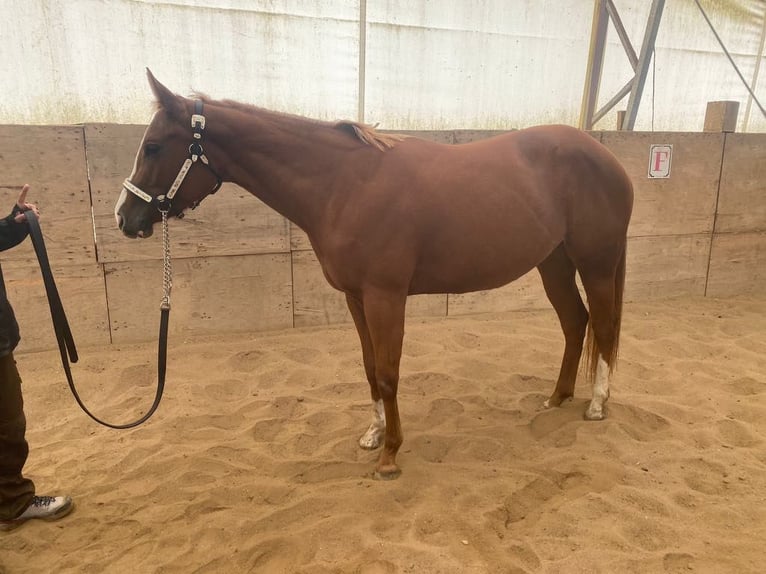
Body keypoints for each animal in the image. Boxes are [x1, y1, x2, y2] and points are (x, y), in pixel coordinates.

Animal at [117, 71, 632, 482]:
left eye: (154, 146)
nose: (124, 218)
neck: (344, 184)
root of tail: (609, 161)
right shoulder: (356, 298)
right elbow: (368, 368)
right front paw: (373, 435)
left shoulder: (386, 297)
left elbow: (388, 371)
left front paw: (390, 456)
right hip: (554, 263)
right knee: (575, 322)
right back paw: (557, 397)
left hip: (597, 262)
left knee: (604, 326)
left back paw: (597, 404)